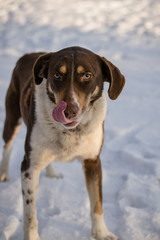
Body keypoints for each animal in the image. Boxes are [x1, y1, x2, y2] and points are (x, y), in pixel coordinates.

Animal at [0, 47, 125, 240]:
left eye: (87, 75)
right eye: (57, 75)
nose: (69, 111)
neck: (71, 131)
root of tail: (28, 54)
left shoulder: (93, 161)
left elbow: (97, 202)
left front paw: (102, 233)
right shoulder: (29, 166)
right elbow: (30, 212)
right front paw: (32, 236)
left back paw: (51, 173)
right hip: (13, 118)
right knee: (8, 144)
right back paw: (4, 173)